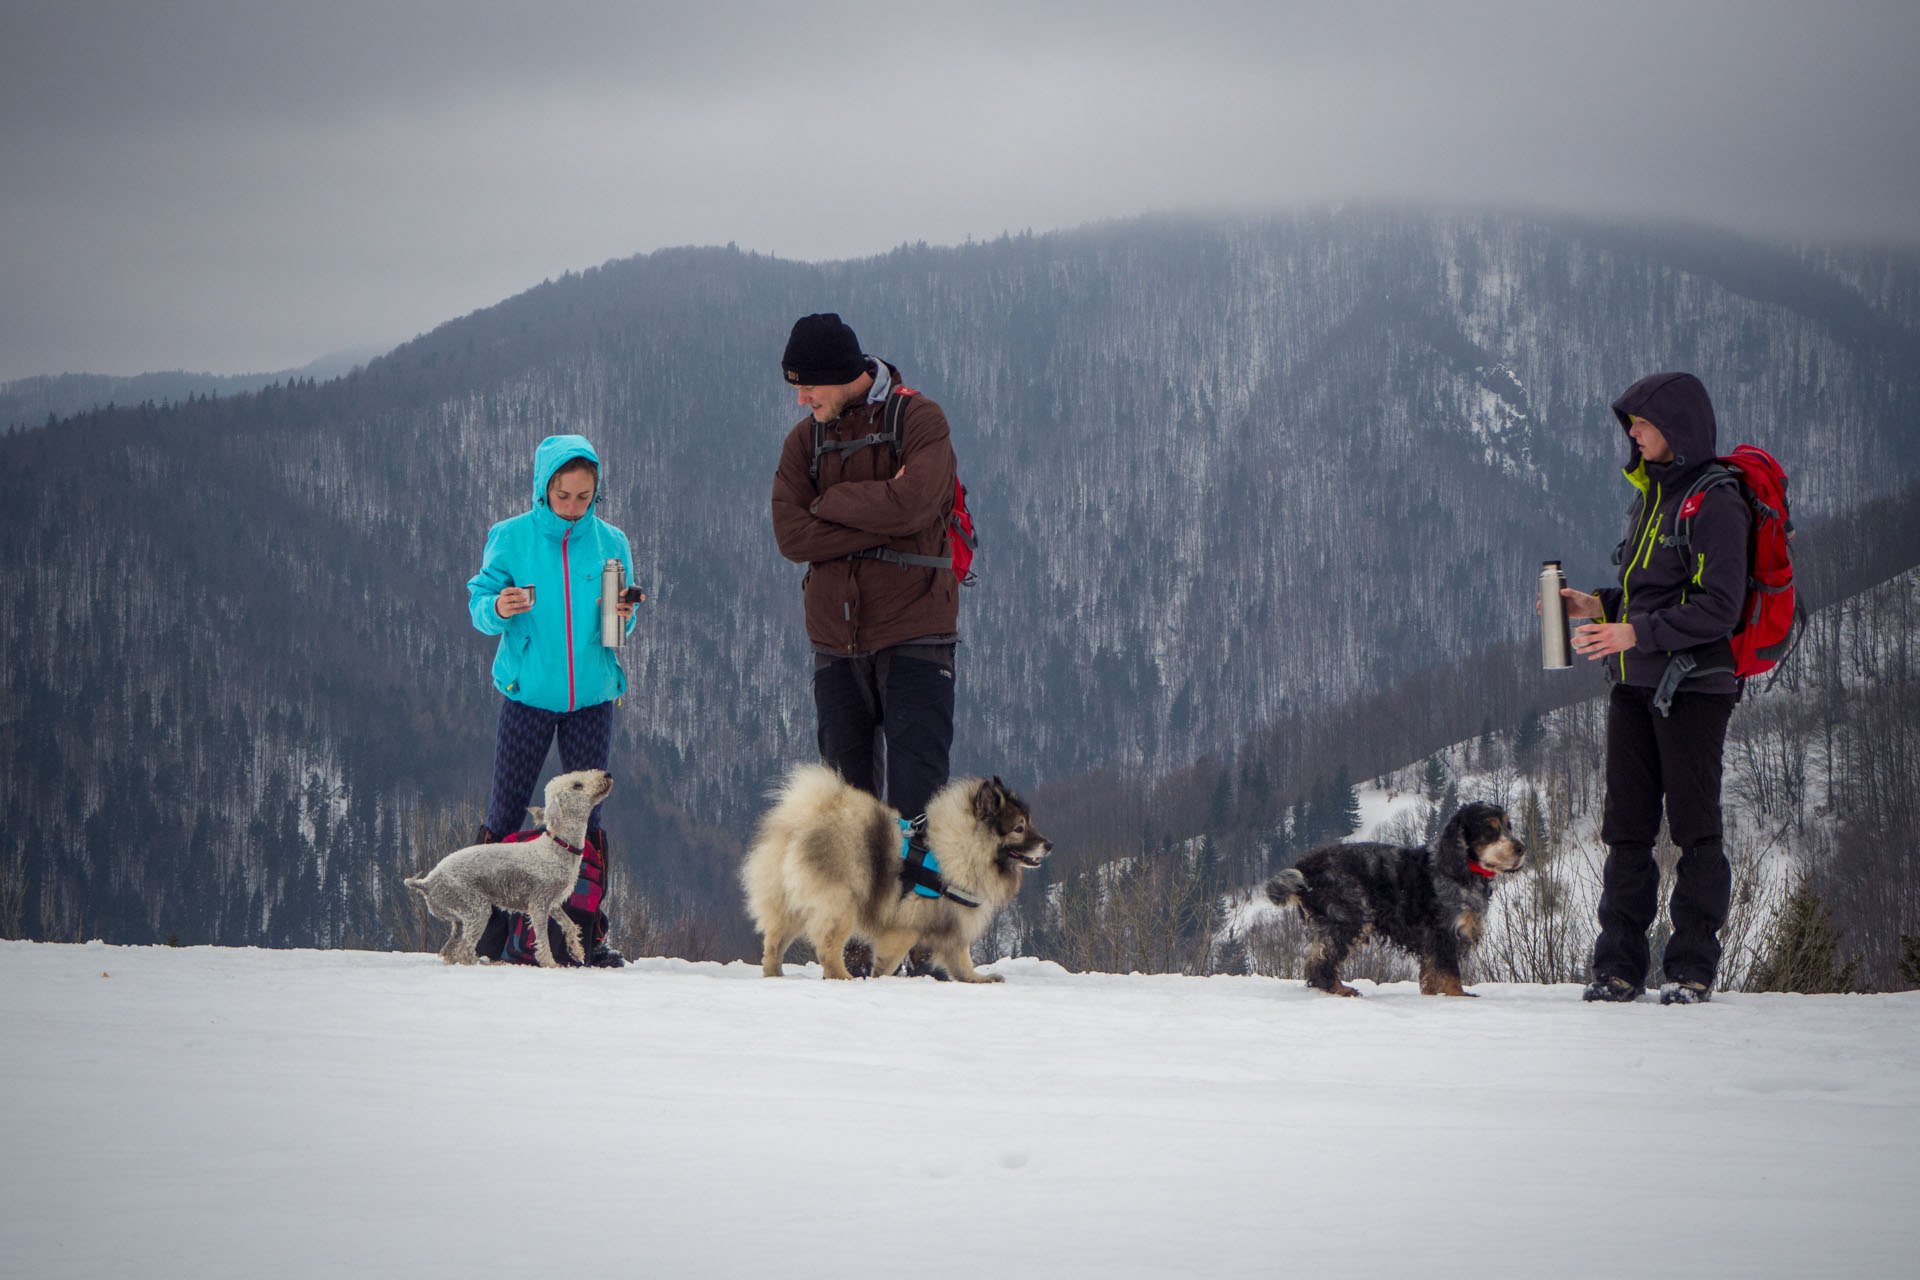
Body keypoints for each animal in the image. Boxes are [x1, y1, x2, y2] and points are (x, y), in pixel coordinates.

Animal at [744, 767, 1052, 990]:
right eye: (1019, 828)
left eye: (1029, 823)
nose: (1049, 845)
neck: (964, 846)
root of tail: (803, 821)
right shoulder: (907, 924)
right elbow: (891, 958)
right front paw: (880, 977)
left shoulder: (950, 921)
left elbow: (961, 959)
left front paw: (976, 979)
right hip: (841, 906)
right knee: (828, 949)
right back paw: (843, 977)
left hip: (790, 904)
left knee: (774, 943)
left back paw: (775, 975)